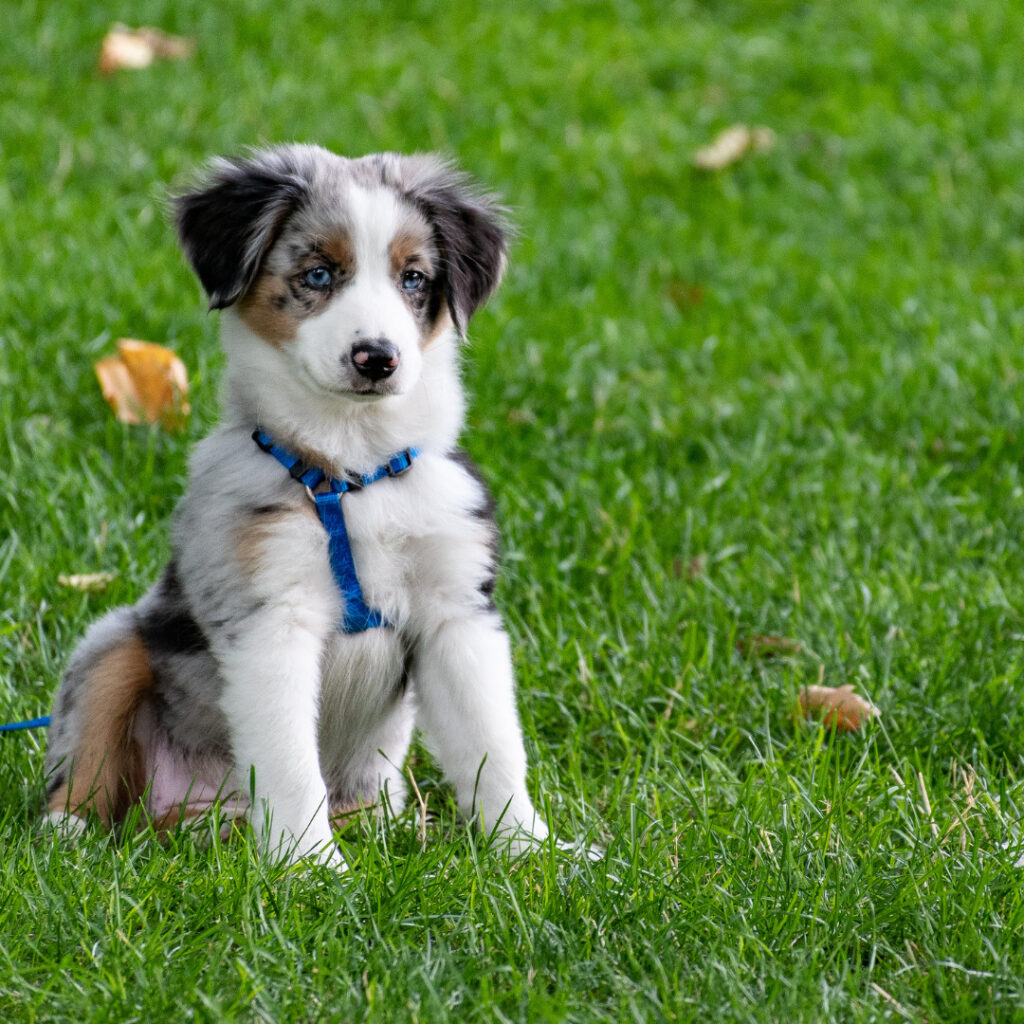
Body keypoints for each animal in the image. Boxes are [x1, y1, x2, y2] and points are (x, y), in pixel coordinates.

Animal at [41, 144, 569, 864]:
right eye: (318, 273)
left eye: (414, 278)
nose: (377, 358)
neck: (353, 470)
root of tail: (197, 816)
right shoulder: (270, 619)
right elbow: (290, 762)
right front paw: (311, 868)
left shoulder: (457, 612)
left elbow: (493, 747)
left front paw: (534, 853)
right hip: (114, 643)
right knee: (87, 751)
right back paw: (70, 832)